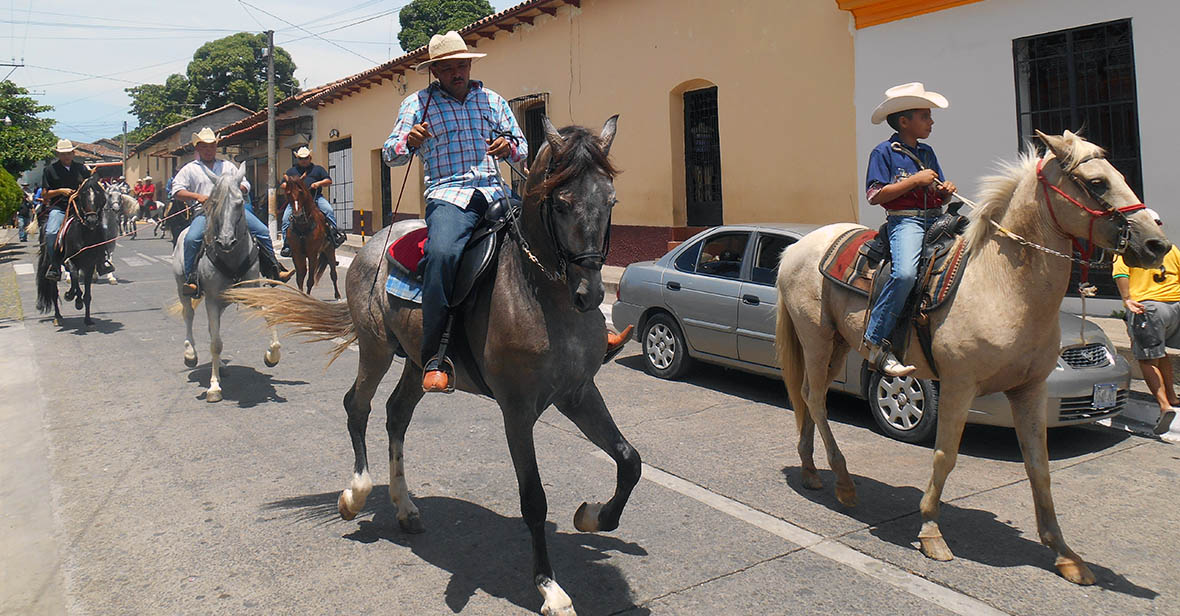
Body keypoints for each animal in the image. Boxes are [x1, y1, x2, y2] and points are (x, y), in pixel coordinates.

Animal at [36, 176, 110, 327]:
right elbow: (75, 276)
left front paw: (87, 319)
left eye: (99, 195)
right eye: (83, 195)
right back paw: (58, 316)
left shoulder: (90, 265)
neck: (85, 235)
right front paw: (72, 296)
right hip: (53, 265)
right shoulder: (69, 261)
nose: (92, 220)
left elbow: (87, 294)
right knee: (54, 291)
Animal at [171, 162, 281, 403]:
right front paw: (214, 387)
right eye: (214, 203)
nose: (226, 241)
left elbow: (269, 317)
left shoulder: (251, 293)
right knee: (189, 316)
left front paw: (272, 356)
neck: (232, 256)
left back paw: (220, 365)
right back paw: (190, 354)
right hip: (184, 289)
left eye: (240, 203)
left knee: (213, 329)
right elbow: (215, 344)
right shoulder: (212, 299)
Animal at [225, 116, 635, 615]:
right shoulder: (517, 411)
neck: (538, 288)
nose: (590, 294)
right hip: (377, 349)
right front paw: (550, 588)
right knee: (357, 406)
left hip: (418, 362)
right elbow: (534, 499)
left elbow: (629, 461)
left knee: (396, 414)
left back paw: (405, 508)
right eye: (561, 203)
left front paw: (593, 517)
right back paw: (355, 494)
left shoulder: (578, 394)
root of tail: (374, 244)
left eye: (611, 200)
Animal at [774, 130, 1170, 585]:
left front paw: (1064, 553)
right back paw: (842, 482)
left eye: (1119, 173)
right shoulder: (959, 386)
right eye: (1097, 182)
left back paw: (810, 471)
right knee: (816, 400)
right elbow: (945, 456)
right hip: (816, 338)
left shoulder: (1030, 390)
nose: (1156, 243)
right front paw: (930, 531)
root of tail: (798, 248)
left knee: (807, 396)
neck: (1004, 284)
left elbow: (1040, 468)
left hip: (839, 344)